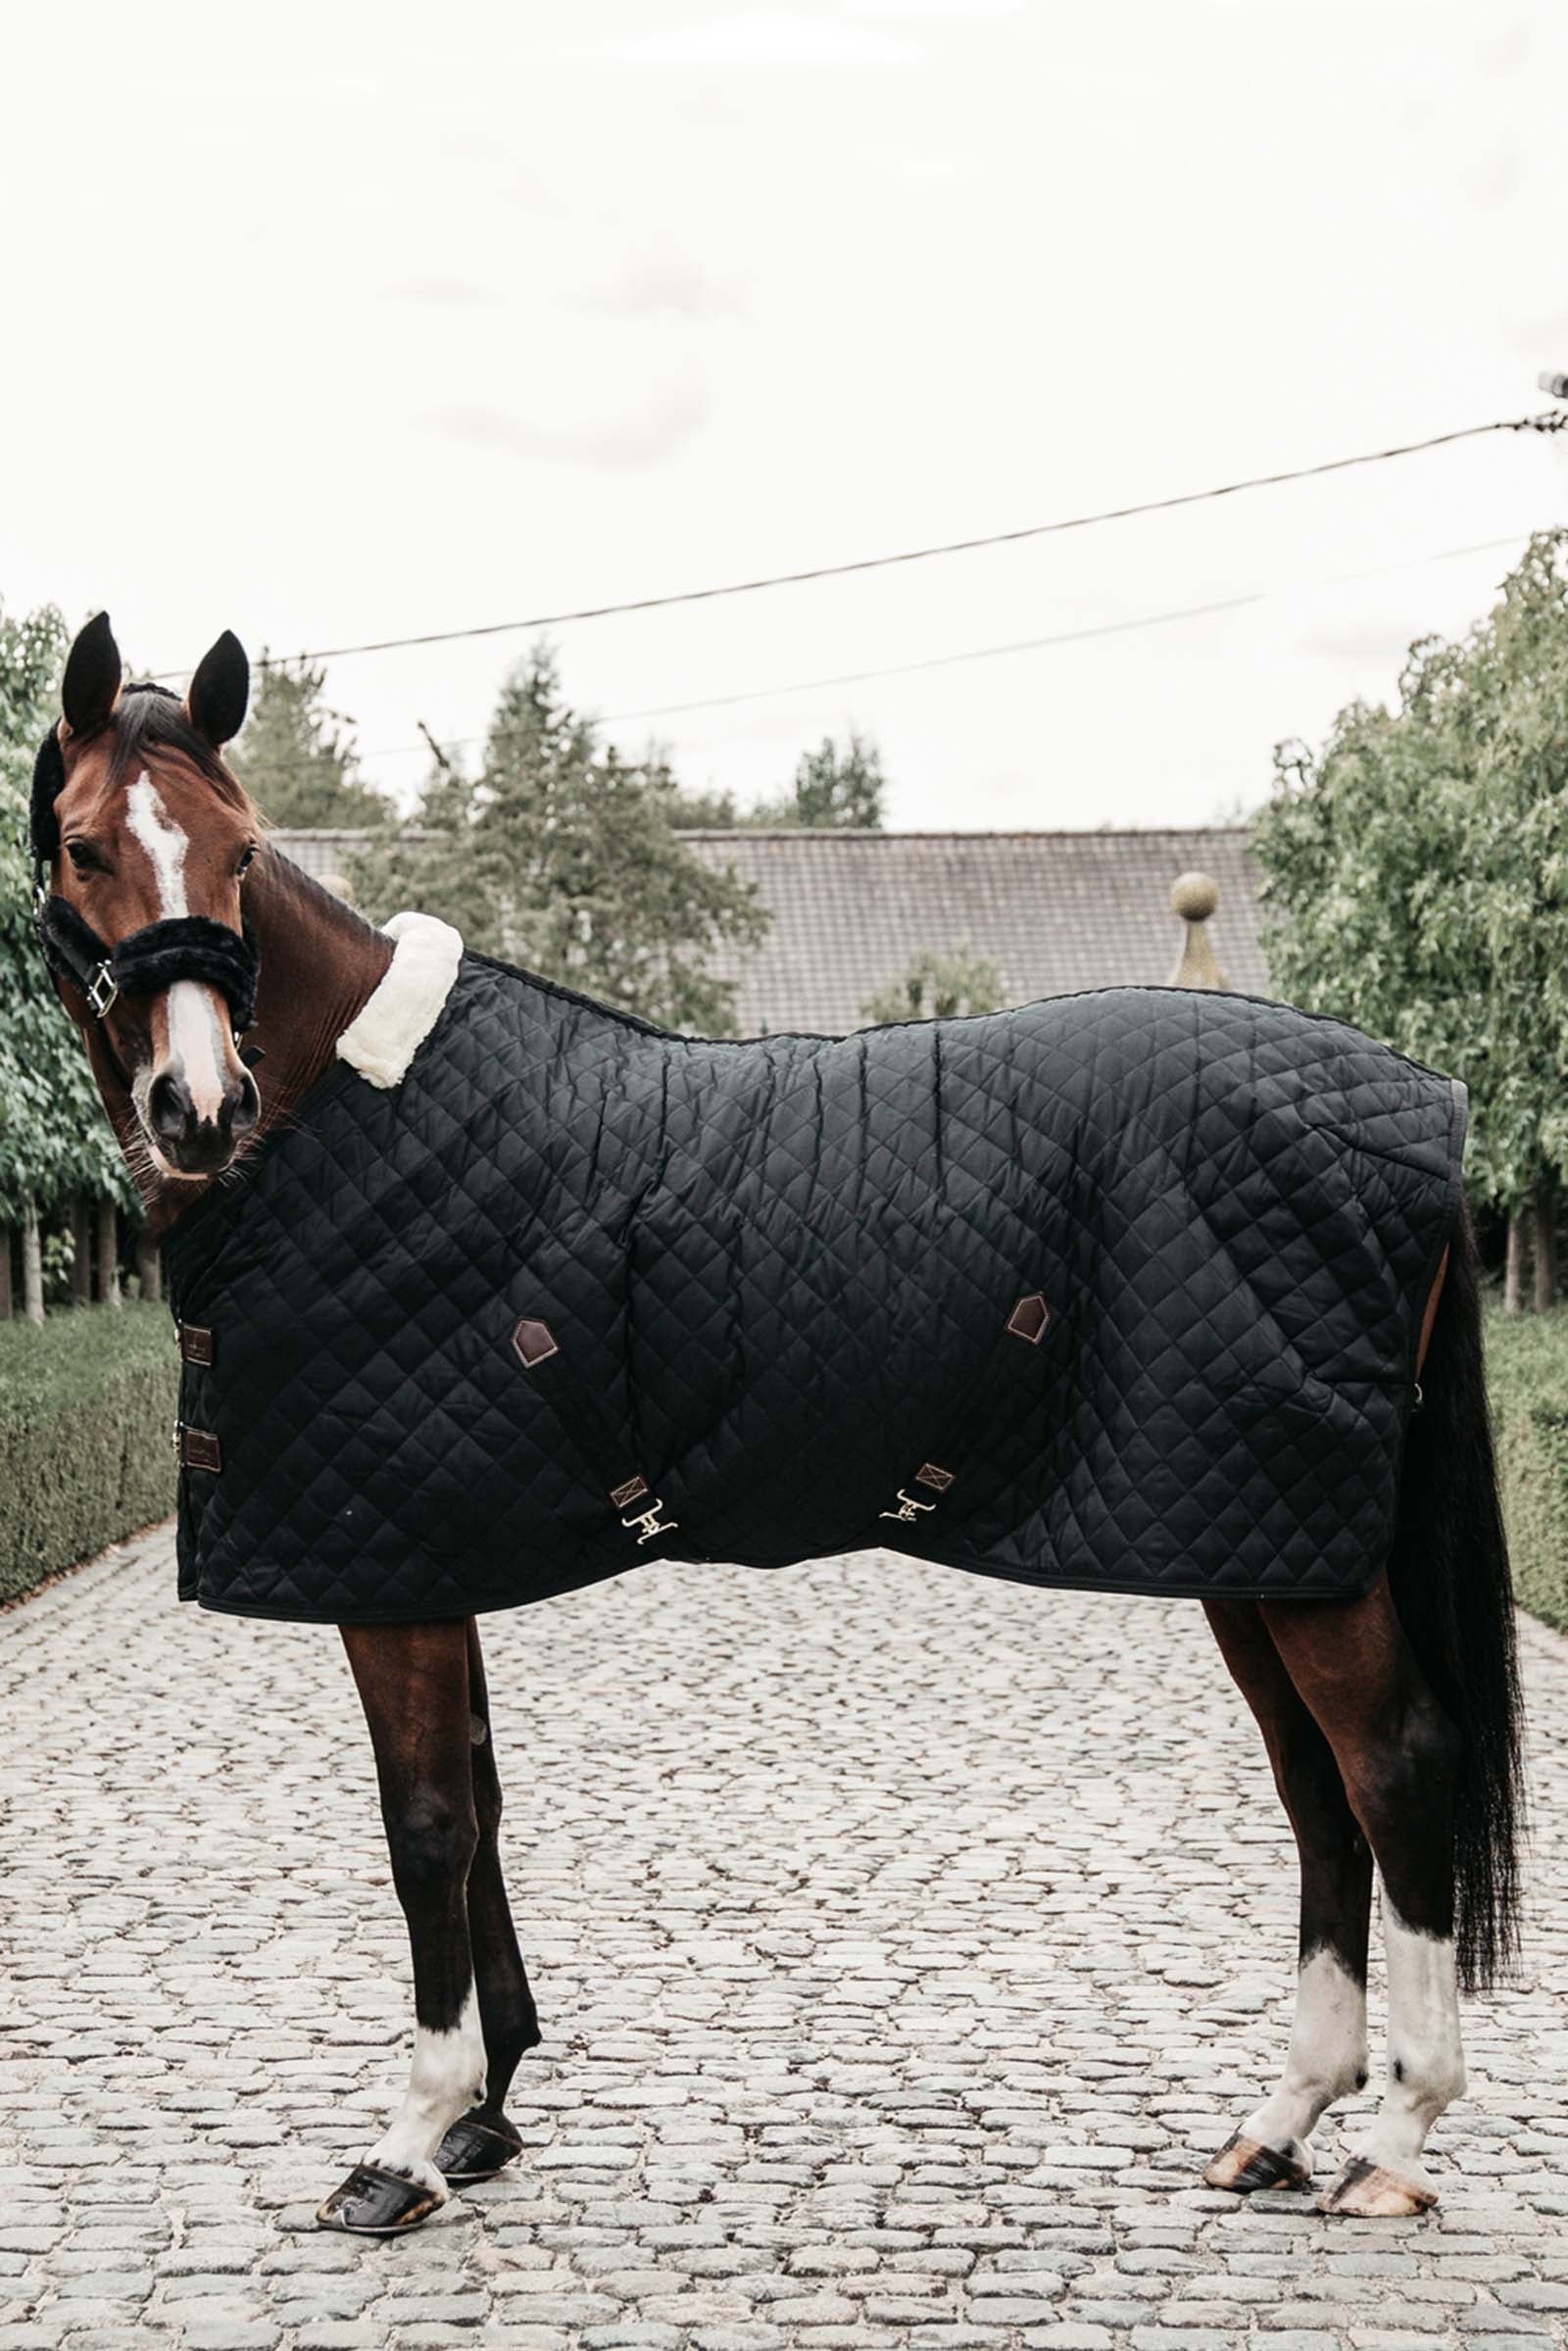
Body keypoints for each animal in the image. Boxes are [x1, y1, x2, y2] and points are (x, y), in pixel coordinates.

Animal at [32, 610, 1523, 2235]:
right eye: (87, 843)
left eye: (238, 851)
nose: (199, 1103)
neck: (351, 1109)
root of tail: (1415, 1104)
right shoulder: (436, 1558)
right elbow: (481, 1801)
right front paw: (490, 2110)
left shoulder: (390, 1572)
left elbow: (425, 1825)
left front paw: (408, 2141)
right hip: (1248, 1540)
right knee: (1317, 1789)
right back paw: (1282, 2118)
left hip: (1294, 1549)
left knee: (1395, 1766)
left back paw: (1396, 2138)